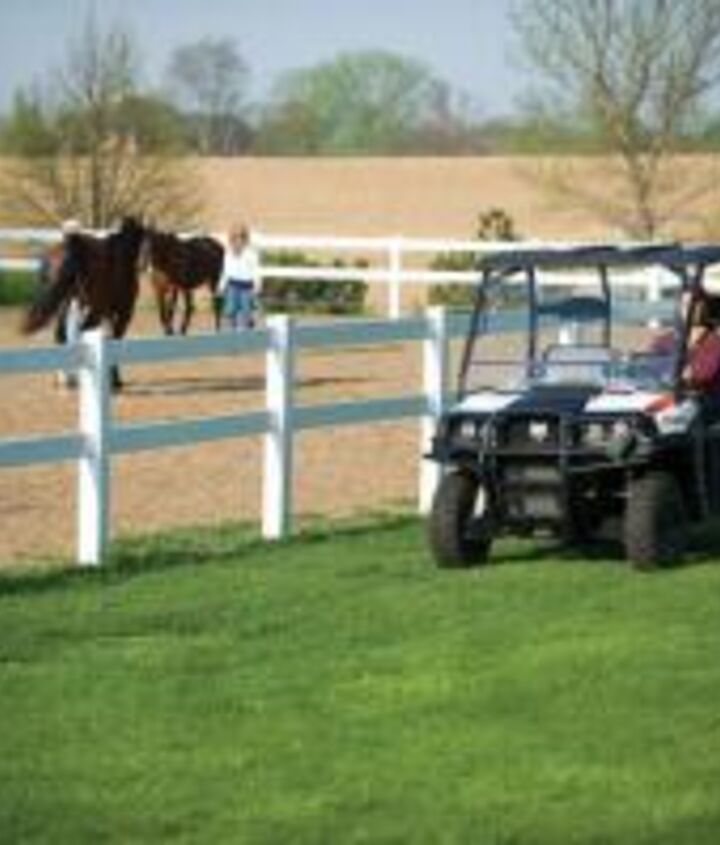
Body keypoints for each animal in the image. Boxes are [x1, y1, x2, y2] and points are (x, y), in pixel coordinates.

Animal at [23, 216, 146, 390]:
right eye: (142, 236)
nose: (143, 265)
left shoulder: (105, 313)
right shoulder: (123, 313)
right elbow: (114, 339)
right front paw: (115, 380)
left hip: (66, 303)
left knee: (61, 335)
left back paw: (64, 379)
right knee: (78, 332)